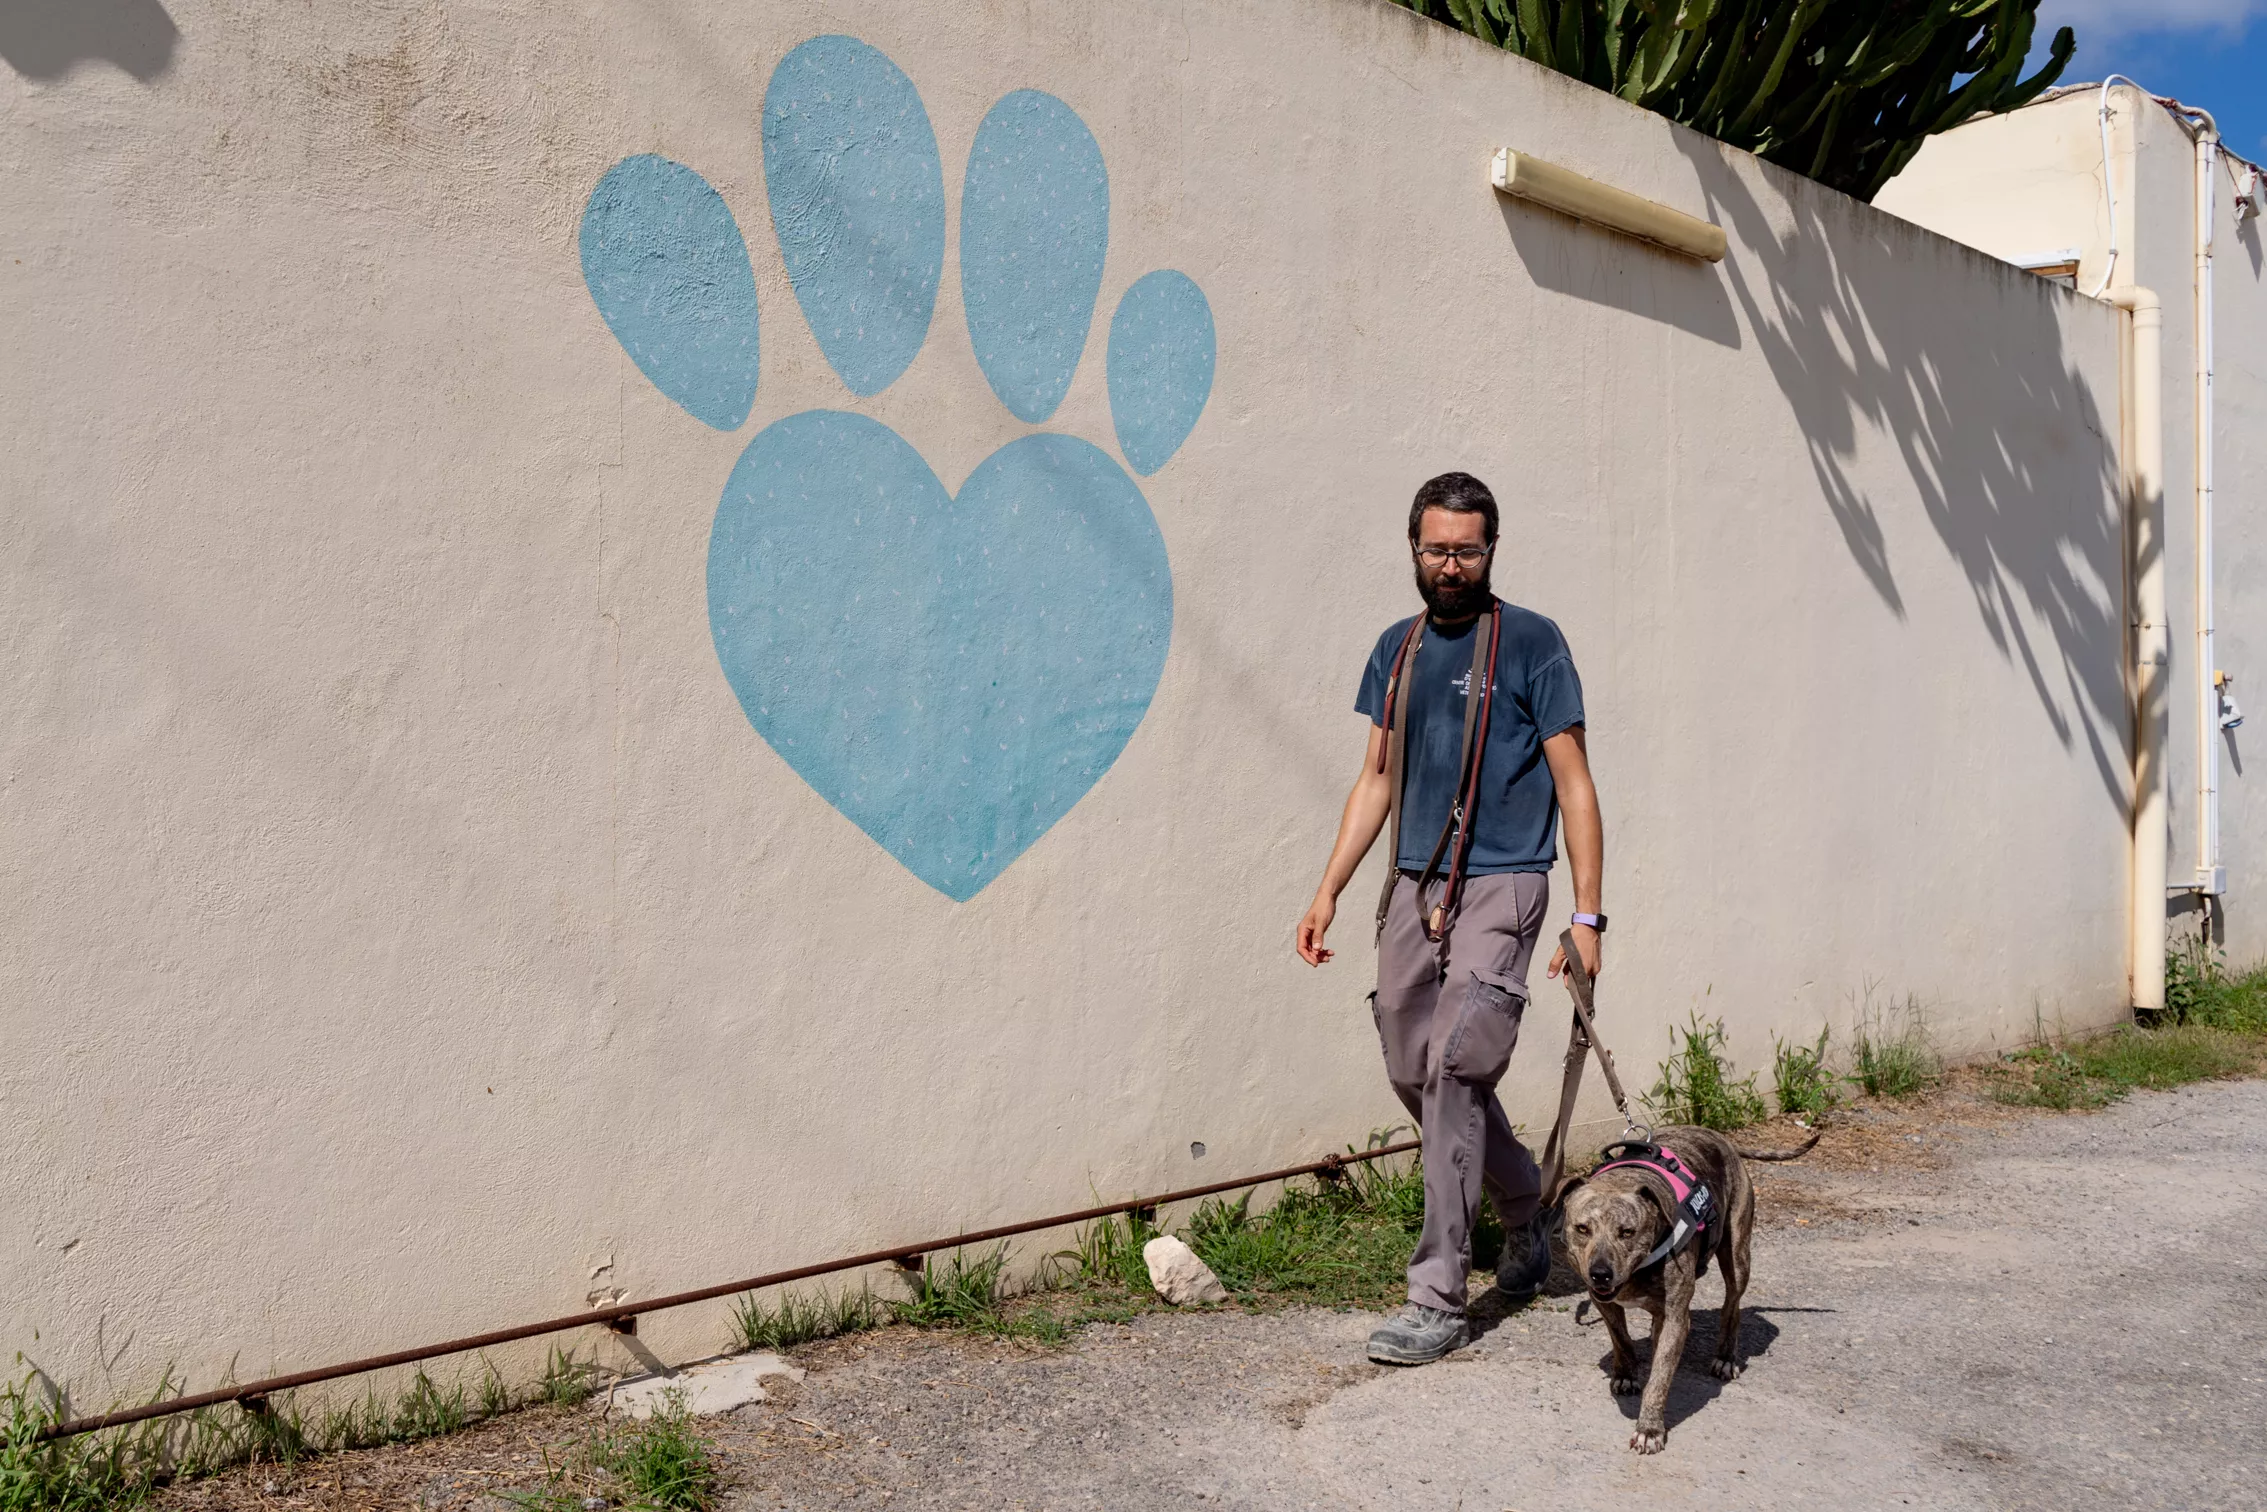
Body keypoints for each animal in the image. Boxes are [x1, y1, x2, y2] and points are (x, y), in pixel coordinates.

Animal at [1568, 1128, 1813, 1450]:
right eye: (1582, 1229)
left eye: (1628, 1232)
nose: (1600, 1274)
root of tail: (1723, 1140)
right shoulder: (1604, 1303)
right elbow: (1620, 1338)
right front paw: (1626, 1374)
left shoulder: (1675, 1317)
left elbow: (1660, 1376)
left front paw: (1649, 1428)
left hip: (1737, 1255)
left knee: (1732, 1305)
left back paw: (1726, 1358)